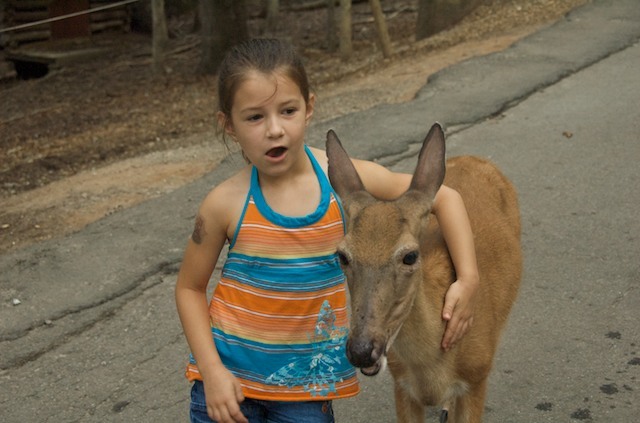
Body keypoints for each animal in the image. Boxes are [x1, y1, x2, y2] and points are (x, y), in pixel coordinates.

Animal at [326, 123, 522, 423]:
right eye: (342, 255)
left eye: (410, 255)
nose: (361, 351)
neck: (432, 370)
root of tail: (477, 159)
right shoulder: (402, 386)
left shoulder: (477, 378)